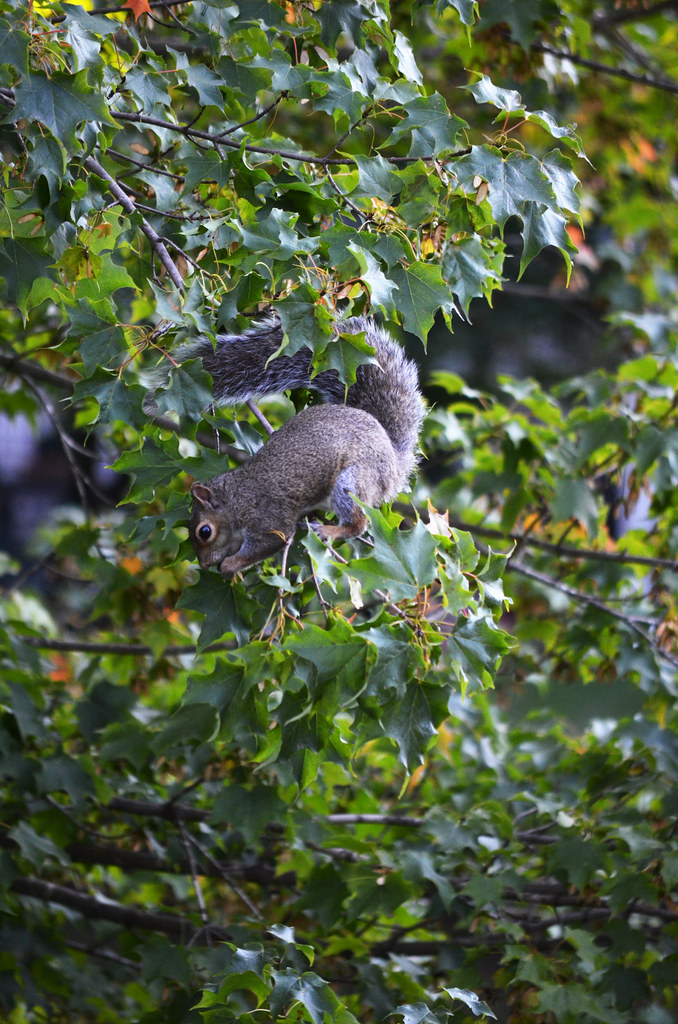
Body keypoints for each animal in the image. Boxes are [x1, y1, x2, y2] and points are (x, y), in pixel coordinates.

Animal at [169, 315, 424, 576]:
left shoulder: (268, 517)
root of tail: (394, 459)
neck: (235, 499)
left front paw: (231, 565)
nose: (204, 564)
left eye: (205, 532)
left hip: (355, 478)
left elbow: (271, 541)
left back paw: (331, 530)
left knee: (359, 522)